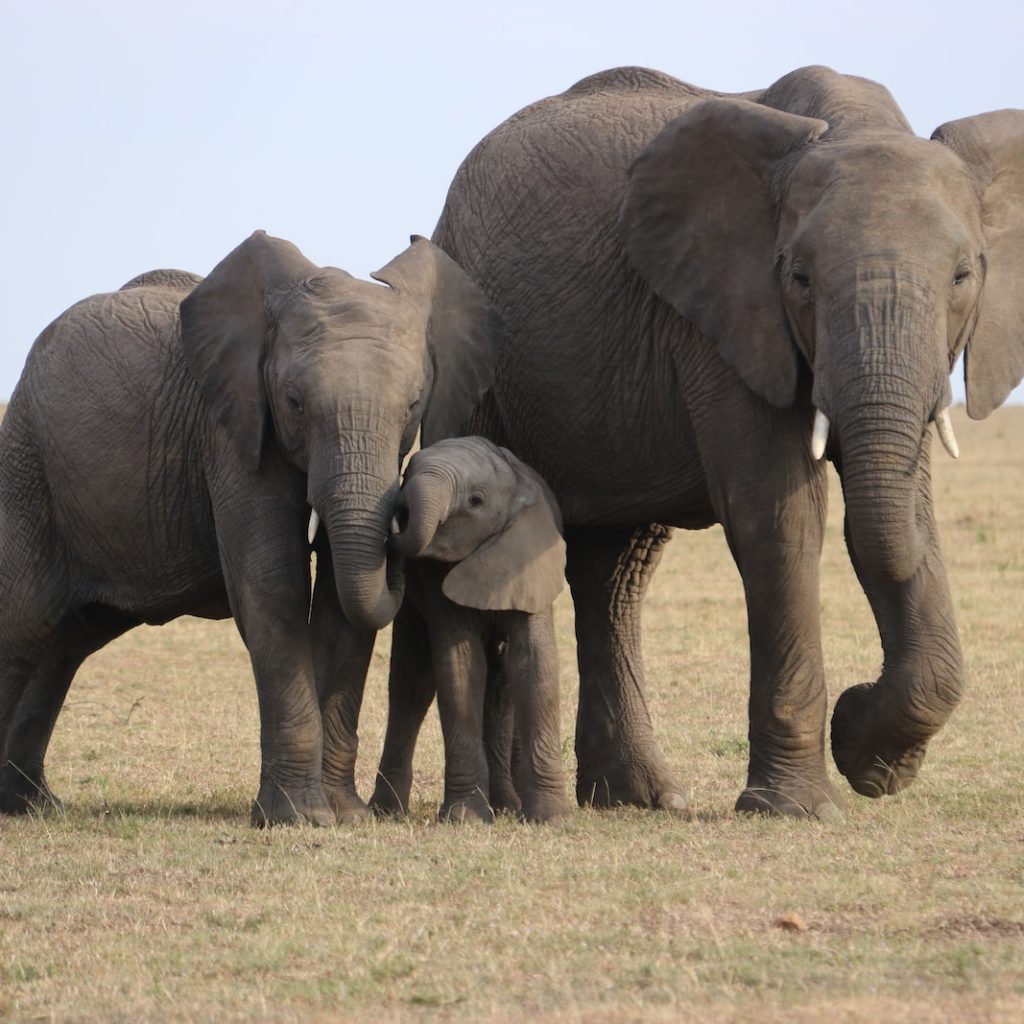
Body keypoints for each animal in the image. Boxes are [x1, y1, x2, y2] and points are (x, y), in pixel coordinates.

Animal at [0, 230, 498, 826]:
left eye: (414, 405)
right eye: (294, 403)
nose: (401, 518)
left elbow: (339, 601)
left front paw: (343, 815)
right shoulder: (231, 433)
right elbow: (272, 585)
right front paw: (301, 818)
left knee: (63, 641)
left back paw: (31, 804)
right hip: (27, 465)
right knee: (26, 622)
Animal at [370, 436, 572, 823]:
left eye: (476, 500)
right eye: (408, 471)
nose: (398, 512)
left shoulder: (530, 563)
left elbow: (534, 664)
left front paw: (551, 818)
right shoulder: (434, 578)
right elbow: (460, 667)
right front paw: (464, 818)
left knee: (501, 686)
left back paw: (507, 805)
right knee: (411, 682)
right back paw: (386, 812)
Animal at [420, 65, 1024, 819]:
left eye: (964, 276)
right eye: (798, 277)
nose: (855, 706)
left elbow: (903, 512)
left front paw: (873, 761)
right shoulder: (721, 317)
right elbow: (781, 515)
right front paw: (803, 805)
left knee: (616, 572)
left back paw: (642, 798)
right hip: (466, 338)